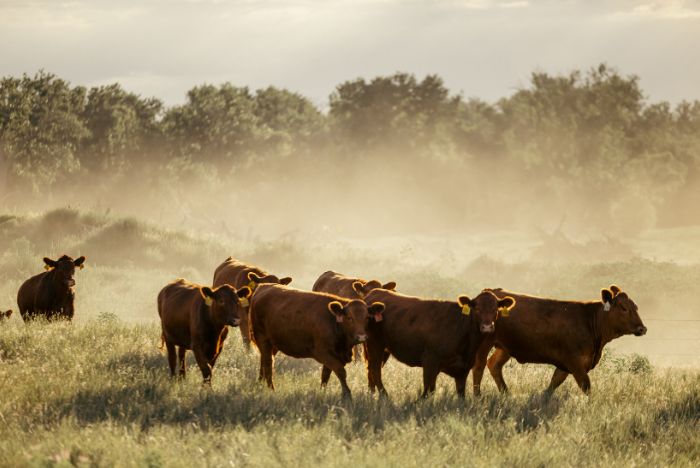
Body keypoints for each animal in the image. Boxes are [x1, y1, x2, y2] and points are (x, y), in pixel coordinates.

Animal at [249, 284, 386, 400]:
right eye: (349, 318)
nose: (361, 337)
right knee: (268, 363)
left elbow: (325, 375)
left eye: (367, 318)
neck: (333, 322)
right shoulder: (323, 353)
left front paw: (322, 392)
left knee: (264, 361)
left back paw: (259, 384)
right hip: (263, 339)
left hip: (272, 345)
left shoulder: (333, 355)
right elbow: (341, 371)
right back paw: (271, 389)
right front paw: (347, 394)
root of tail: (263, 287)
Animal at [360, 288, 516, 398]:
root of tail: (373, 293)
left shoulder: (463, 369)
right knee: (375, 369)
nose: (487, 327)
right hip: (374, 345)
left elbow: (461, 395)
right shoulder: (430, 361)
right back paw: (384, 396)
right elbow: (428, 391)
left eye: (495, 309)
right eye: (477, 309)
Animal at [474, 284, 648, 396]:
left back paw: (506, 394)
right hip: (485, 342)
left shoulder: (565, 365)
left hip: (505, 347)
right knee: (479, 367)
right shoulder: (574, 362)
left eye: (636, 307)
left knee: (494, 364)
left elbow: (553, 384)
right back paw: (478, 396)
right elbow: (586, 386)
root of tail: (489, 292)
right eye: (623, 308)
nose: (642, 328)